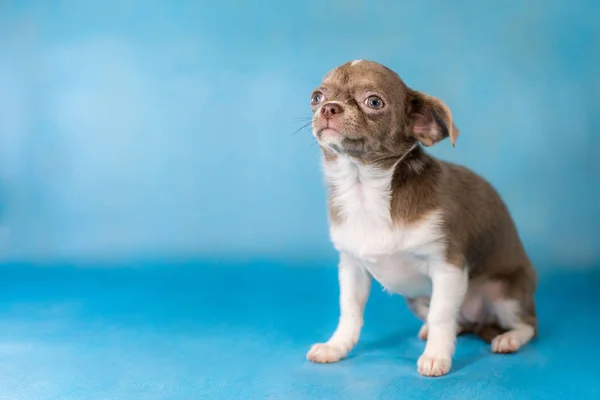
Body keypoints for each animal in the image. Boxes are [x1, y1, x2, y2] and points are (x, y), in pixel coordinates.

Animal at [308, 60, 536, 378]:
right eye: (316, 97)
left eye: (374, 102)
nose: (328, 108)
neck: (365, 190)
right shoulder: (352, 267)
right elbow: (350, 311)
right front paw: (336, 346)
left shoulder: (448, 268)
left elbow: (441, 315)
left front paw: (436, 357)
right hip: (416, 300)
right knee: (458, 322)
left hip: (505, 294)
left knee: (528, 325)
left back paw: (509, 339)